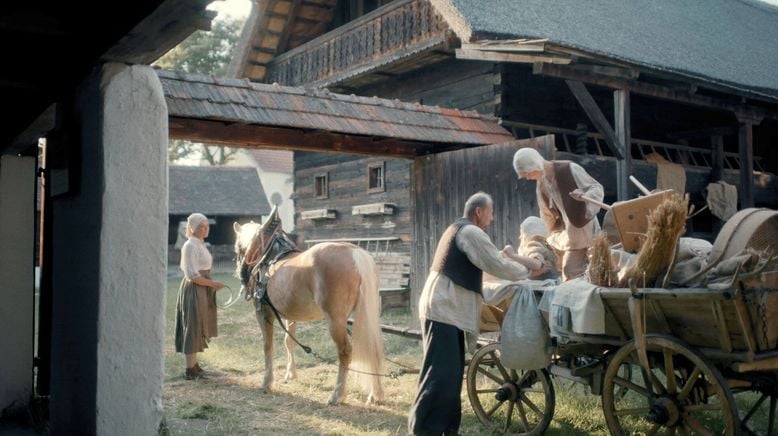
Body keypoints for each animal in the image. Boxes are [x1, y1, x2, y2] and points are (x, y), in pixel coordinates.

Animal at [233, 209, 384, 404]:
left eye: (238, 248)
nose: (240, 273)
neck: (267, 256)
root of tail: (355, 253)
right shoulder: (290, 315)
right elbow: (288, 341)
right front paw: (291, 374)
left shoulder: (263, 312)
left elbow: (268, 345)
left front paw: (267, 382)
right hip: (367, 316)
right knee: (373, 347)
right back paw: (375, 393)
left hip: (336, 320)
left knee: (345, 351)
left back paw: (337, 394)